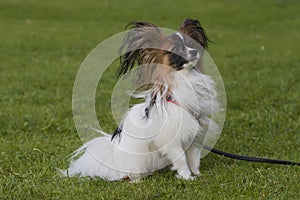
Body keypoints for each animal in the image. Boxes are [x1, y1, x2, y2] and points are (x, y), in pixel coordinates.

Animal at [63, 19, 219, 181]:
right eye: (175, 49)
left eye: (191, 44)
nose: (194, 51)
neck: (186, 78)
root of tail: (113, 157)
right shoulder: (171, 139)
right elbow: (181, 159)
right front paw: (187, 177)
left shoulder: (195, 134)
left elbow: (194, 157)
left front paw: (196, 174)